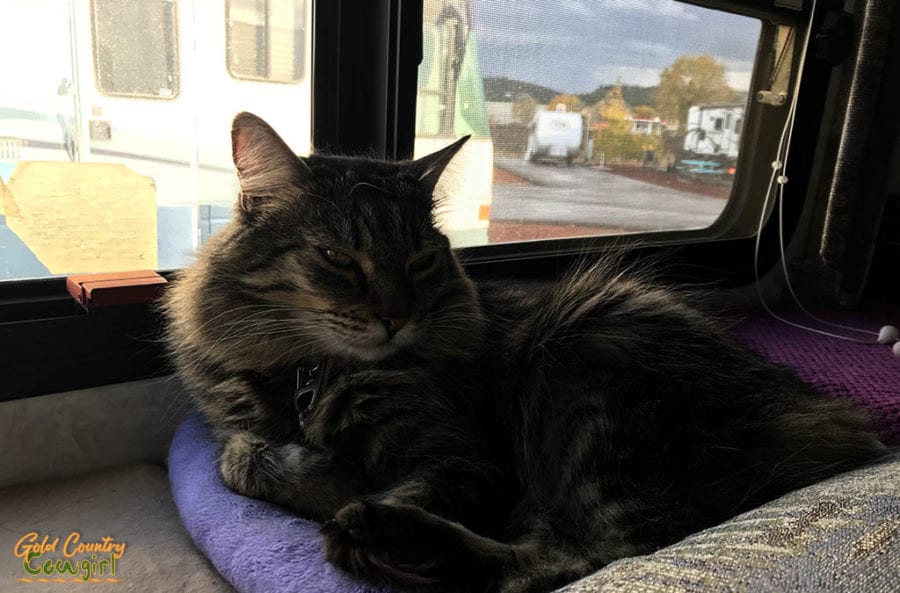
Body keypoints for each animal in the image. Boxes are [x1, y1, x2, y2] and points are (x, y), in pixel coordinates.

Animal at [165, 112, 888, 592]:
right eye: (340, 259)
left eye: (421, 260)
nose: (397, 319)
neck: (312, 373)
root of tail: (813, 415)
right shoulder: (237, 424)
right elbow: (239, 456)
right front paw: (316, 470)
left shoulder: (469, 461)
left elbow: (407, 487)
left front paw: (350, 495)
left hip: (585, 383)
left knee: (585, 556)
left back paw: (386, 538)